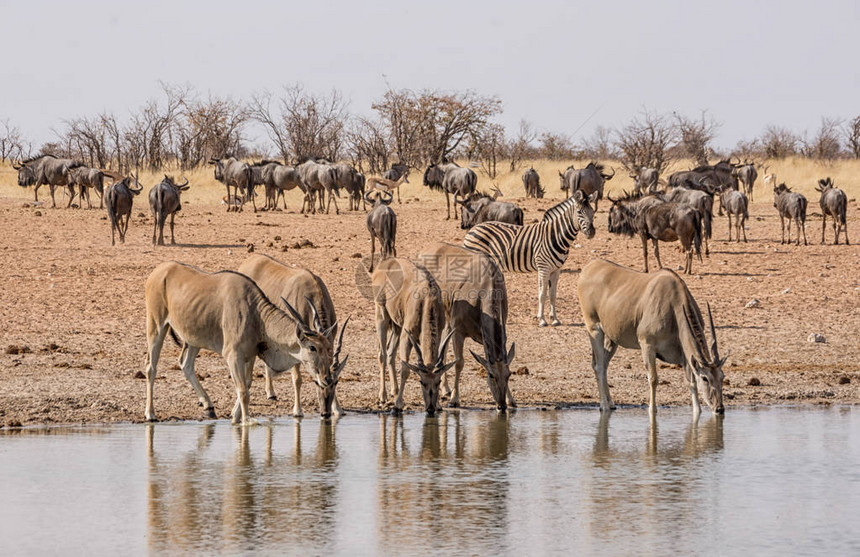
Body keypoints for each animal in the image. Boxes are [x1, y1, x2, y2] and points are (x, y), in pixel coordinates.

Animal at [464, 189, 596, 326]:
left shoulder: (556, 270)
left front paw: (554, 319)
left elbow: (553, 294)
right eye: (579, 212)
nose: (591, 232)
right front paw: (542, 319)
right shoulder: (543, 267)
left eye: (593, 212)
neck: (556, 235)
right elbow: (542, 294)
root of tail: (473, 228)